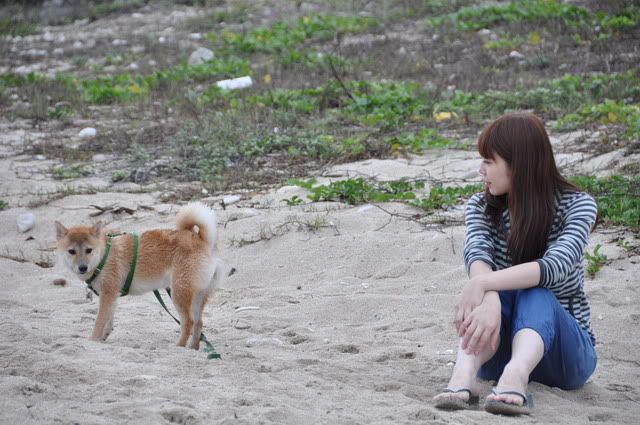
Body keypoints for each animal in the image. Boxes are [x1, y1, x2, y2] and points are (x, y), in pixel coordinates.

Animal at [55, 202, 224, 350]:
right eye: (71, 251)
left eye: (89, 250)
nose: (82, 267)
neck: (104, 255)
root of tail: (202, 240)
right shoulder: (111, 295)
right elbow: (109, 319)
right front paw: (103, 337)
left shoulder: (107, 294)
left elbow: (99, 321)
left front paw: (92, 340)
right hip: (197, 296)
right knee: (199, 323)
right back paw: (193, 348)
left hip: (179, 293)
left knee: (188, 322)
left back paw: (179, 346)